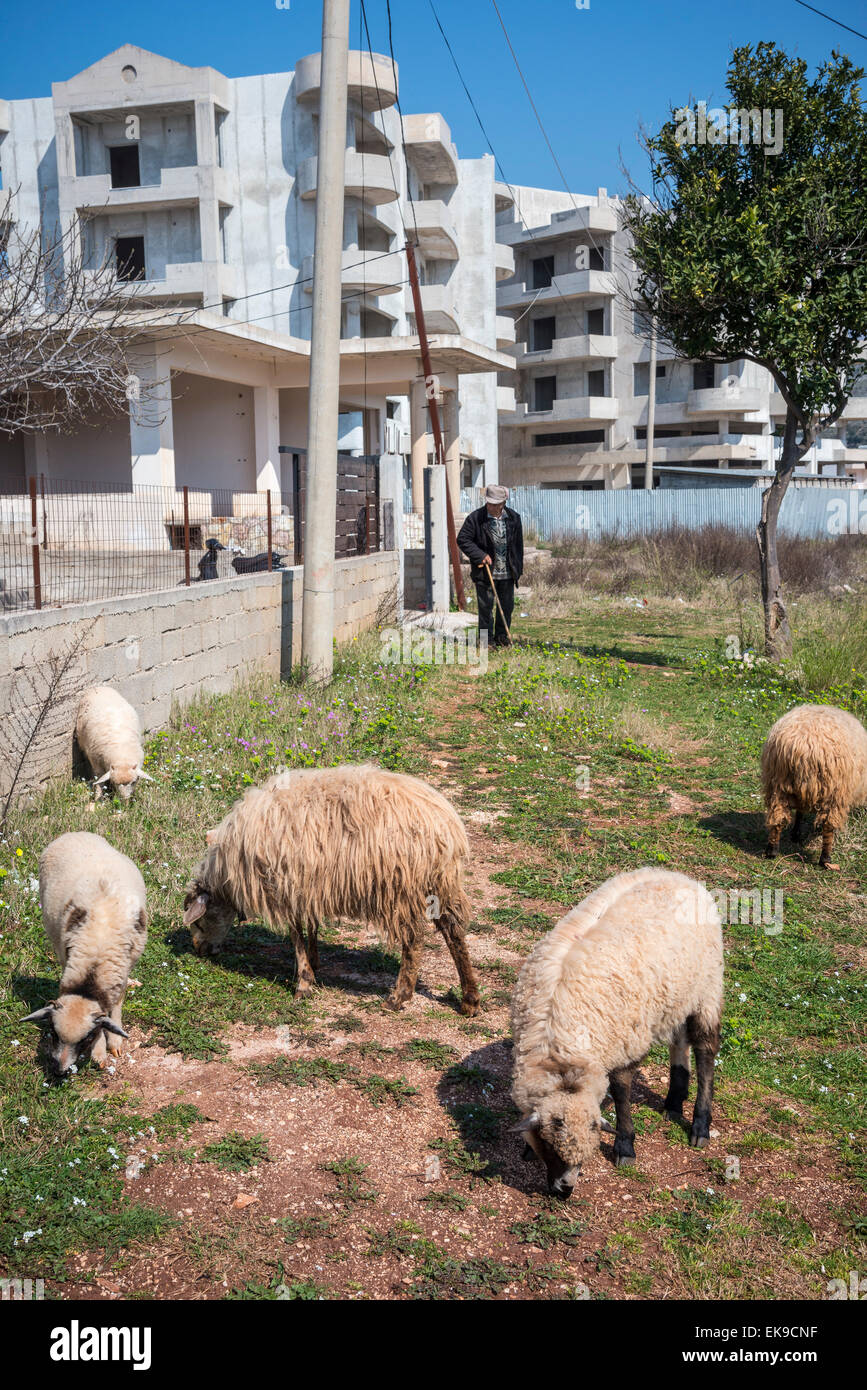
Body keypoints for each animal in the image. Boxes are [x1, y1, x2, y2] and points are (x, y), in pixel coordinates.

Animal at [21, 832, 148, 1078]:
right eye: (53, 1032)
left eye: (86, 1037)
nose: (59, 1071)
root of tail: (73, 833)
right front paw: (100, 1052)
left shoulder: (123, 969)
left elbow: (116, 1005)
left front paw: (113, 1043)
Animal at [182, 763, 480, 1015]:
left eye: (198, 922)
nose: (199, 950)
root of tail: (443, 822)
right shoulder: (307, 885)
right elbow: (311, 926)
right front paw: (314, 962)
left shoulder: (285, 887)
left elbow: (295, 934)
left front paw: (304, 982)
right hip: (442, 883)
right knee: (454, 932)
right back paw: (470, 999)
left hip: (400, 888)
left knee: (413, 939)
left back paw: (399, 997)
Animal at [510, 867, 723, 1199]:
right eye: (548, 1145)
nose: (564, 1191)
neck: (560, 1056)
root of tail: (681, 876)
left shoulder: (625, 1041)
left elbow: (622, 1092)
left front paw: (625, 1146)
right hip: (676, 993)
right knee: (679, 1040)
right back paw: (674, 1102)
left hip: (708, 989)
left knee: (705, 1051)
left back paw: (700, 1125)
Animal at [762, 703, 867, 870]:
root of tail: (802, 745)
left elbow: (800, 812)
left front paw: (796, 834)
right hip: (834, 791)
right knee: (828, 826)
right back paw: (825, 859)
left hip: (777, 784)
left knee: (777, 817)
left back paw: (772, 850)